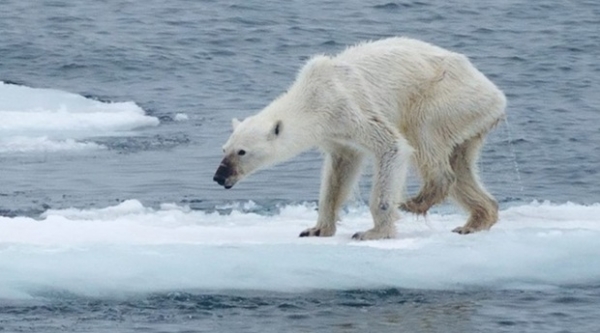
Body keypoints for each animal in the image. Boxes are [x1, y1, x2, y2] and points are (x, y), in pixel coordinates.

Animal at [214, 37, 506, 239]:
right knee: (461, 164)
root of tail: (497, 95)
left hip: (446, 97)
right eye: (224, 149)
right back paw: (475, 221)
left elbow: (392, 146)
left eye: (242, 152)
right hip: (469, 119)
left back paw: (416, 201)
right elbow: (339, 172)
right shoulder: (335, 134)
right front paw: (316, 229)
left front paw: (373, 232)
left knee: (424, 135)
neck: (313, 96)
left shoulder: (348, 107)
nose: (219, 176)